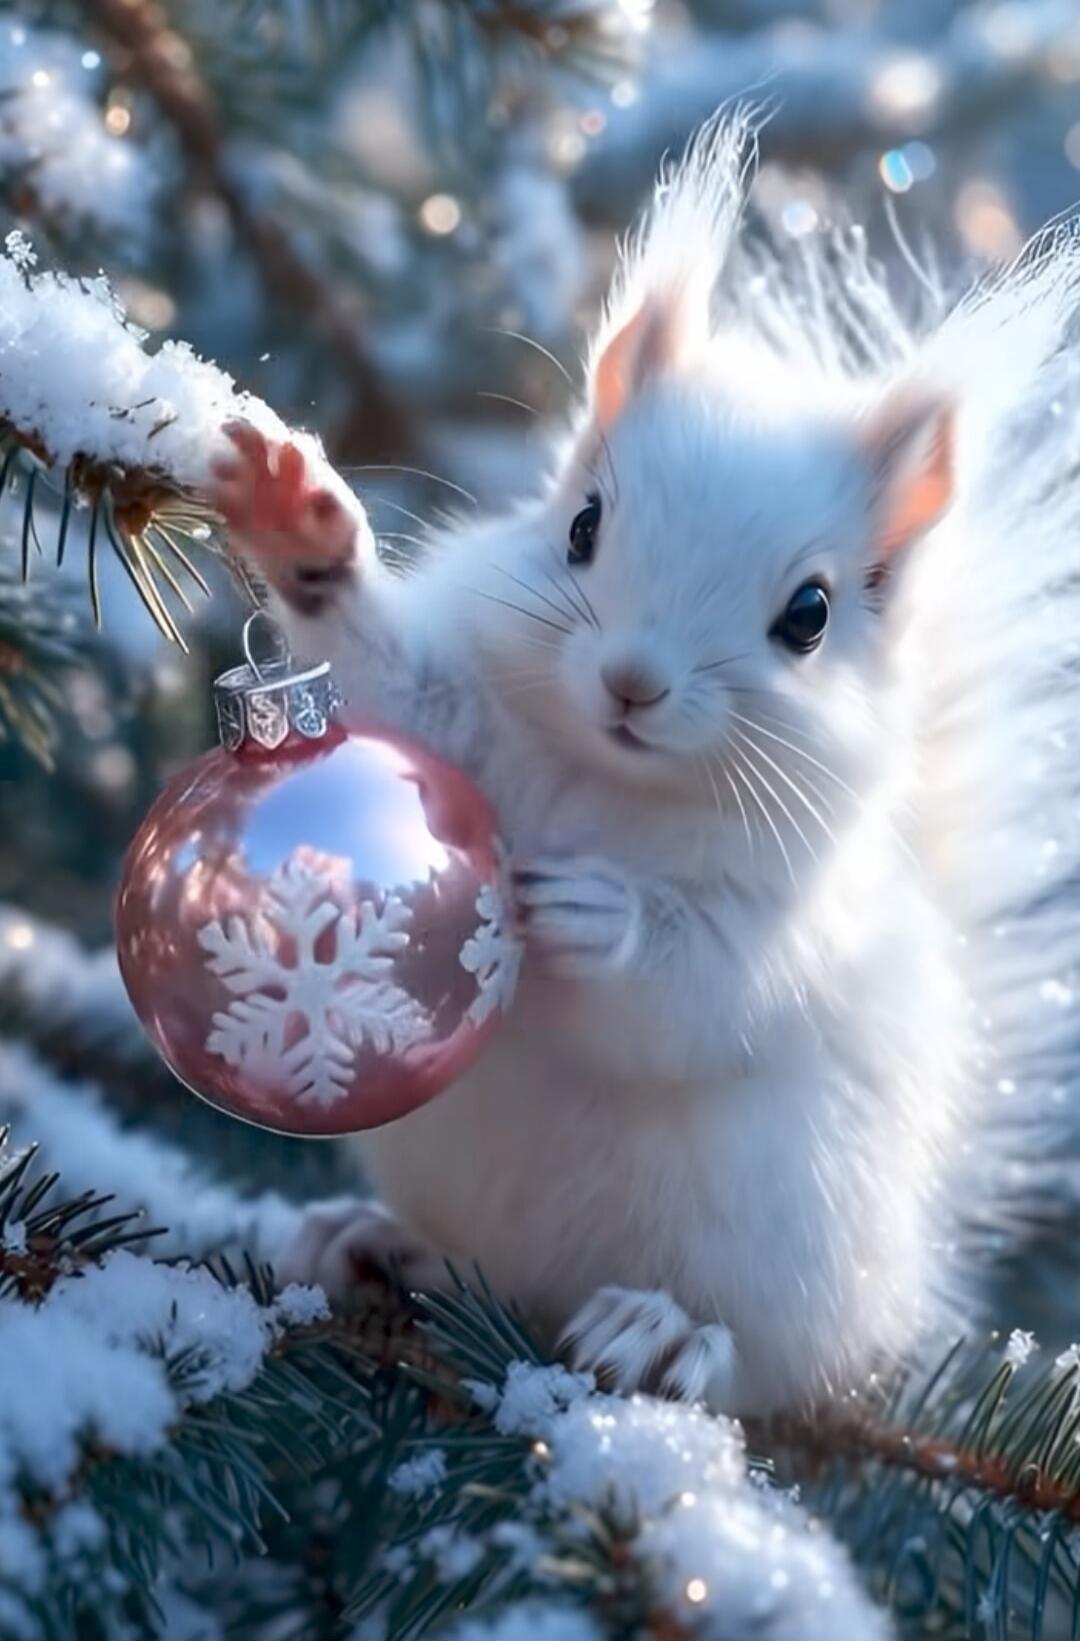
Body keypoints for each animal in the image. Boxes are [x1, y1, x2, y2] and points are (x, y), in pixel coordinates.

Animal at [210, 114, 1080, 1416]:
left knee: (766, 1367)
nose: (632, 683)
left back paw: (664, 1335)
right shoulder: (453, 731)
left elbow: (698, 990)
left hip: (790, 1249)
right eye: (580, 526)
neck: (604, 782)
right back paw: (364, 1243)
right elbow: (383, 684)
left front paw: (598, 915)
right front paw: (303, 534)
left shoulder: (794, 904)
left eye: (810, 615)